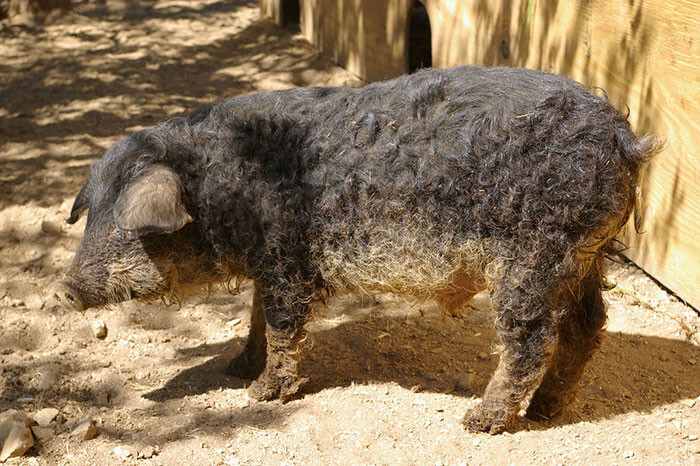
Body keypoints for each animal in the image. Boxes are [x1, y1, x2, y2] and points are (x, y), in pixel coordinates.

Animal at [52, 65, 660, 434]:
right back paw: (546, 413)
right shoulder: (267, 264)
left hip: (534, 258)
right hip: (586, 258)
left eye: (125, 226)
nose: (62, 289)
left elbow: (282, 326)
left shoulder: (287, 257)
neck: (224, 189)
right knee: (588, 329)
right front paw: (234, 369)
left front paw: (258, 395)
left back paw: (478, 422)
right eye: (90, 217)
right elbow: (256, 319)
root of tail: (625, 141)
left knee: (532, 341)